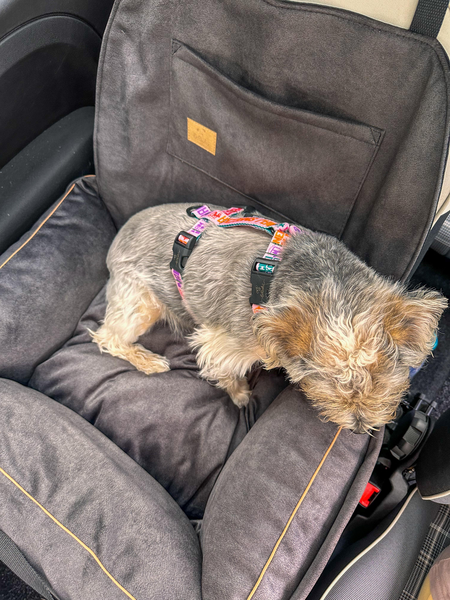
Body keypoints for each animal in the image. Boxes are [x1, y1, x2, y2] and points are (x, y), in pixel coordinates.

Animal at [91, 203, 447, 434]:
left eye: (381, 378)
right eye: (329, 383)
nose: (360, 428)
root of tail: (115, 240)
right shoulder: (225, 342)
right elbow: (225, 369)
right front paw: (240, 394)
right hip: (140, 300)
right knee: (108, 336)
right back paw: (149, 360)